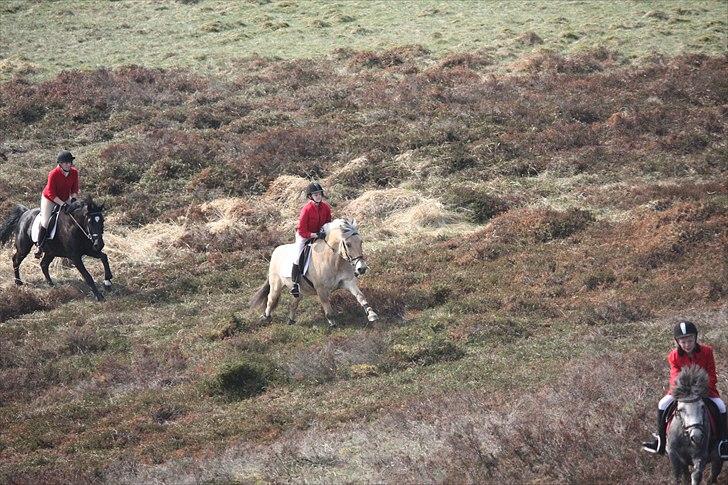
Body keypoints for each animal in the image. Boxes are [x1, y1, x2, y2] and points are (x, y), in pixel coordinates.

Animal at [250, 218, 378, 326]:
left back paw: (290, 320)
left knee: (294, 302)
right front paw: (332, 323)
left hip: (299, 290)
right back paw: (266, 317)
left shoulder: (348, 281)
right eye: (348, 244)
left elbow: (360, 296)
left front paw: (372, 314)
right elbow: (327, 307)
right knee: (271, 300)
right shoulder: (320, 289)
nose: (362, 268)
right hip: (276, 285)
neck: (334, 261)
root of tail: (276, 250)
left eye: (361, 242)